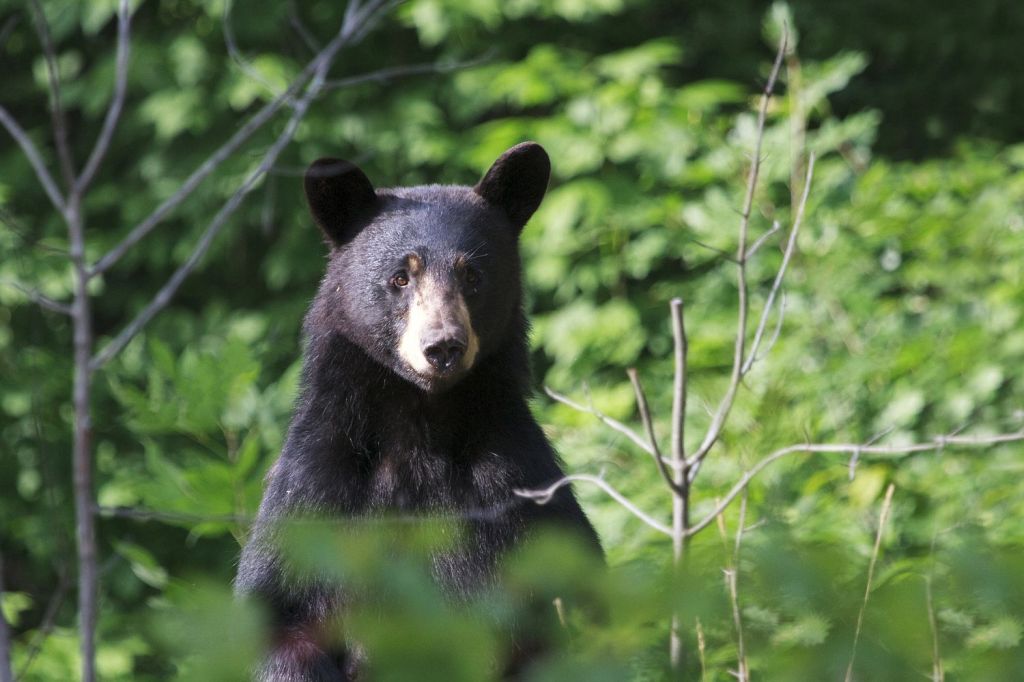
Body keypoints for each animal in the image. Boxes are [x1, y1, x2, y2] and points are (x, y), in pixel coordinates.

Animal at [235, 140, 602, 675]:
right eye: (400, 277)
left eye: (473, 274)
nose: (443, 346)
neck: (421, 429)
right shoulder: (317, 492)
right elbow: (280, 617)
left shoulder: (517, 493)